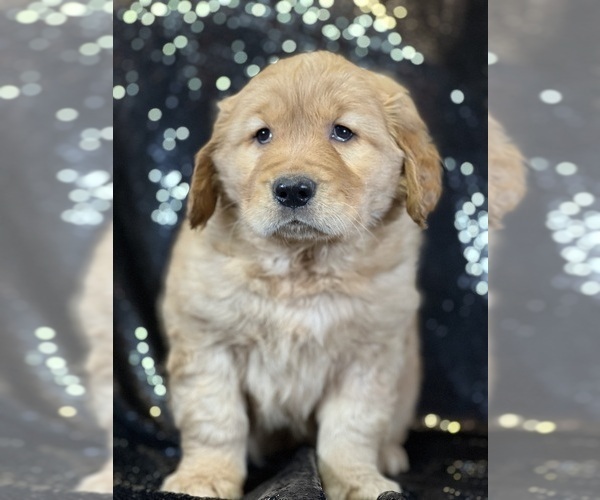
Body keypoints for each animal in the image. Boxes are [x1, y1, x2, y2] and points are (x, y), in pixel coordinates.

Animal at [159, 51, 440, 500]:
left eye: (342, 132)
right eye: (262, 135)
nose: (292, 189)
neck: (300, 266)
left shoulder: (368, 354)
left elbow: (352, 428)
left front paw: (358, 480)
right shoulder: (206, 342)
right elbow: (215, 419)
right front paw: (203, 478)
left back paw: (390, 454)